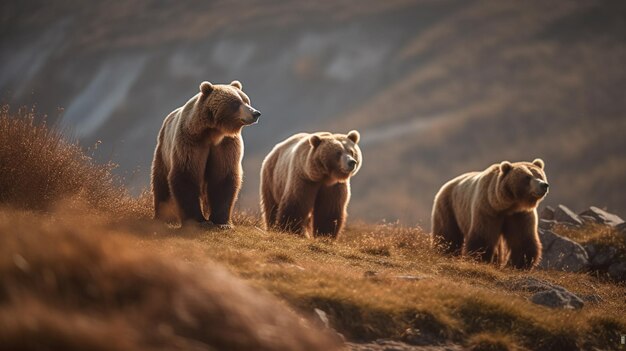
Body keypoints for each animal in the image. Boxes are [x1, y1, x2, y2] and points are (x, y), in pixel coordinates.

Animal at [150, 80, 260, 228]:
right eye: (236, 103)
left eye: (246, 100)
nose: (256, 113)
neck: (213, 133)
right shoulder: (191, 142)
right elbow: (186, 175)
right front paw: (198, 220)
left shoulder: (225, 146)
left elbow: (223, 178)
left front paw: (222, 221)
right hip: (163, 150)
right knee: (161, 182)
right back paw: (164, 217)